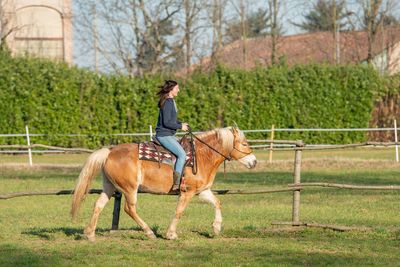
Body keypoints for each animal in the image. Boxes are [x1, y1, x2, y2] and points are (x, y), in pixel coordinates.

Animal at [70, 126, 258, 242]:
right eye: (244, 143)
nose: (254, 162)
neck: (202, 156)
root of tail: (109, 152)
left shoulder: (203, 191)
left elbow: (217, 203)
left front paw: (217, 228)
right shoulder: (187, 192)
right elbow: (179, 211)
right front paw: (171, 234)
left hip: (109, 186)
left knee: (98, 205)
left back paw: (90, 234)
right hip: (130, 189)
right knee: (129, 209)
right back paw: (149, 232)